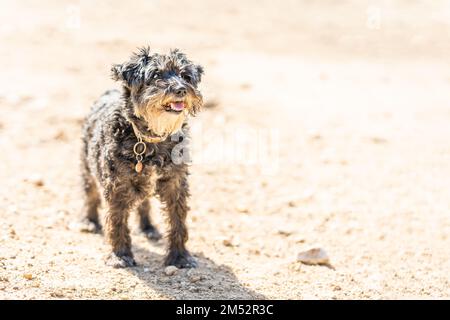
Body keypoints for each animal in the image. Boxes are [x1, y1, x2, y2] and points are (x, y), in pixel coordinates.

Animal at [80, 47, 203, 268]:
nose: (181, 89)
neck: (152, 138)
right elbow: (117, 221)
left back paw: (148, 228)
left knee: (144, 203)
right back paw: (89, 221)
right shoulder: (117, 185)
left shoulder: (176, 183)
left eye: (185, 75)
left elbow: (177, 220)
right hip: (87, 164)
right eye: (155, 75)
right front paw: (120, 255)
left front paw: (180, 257)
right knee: (90, 192)